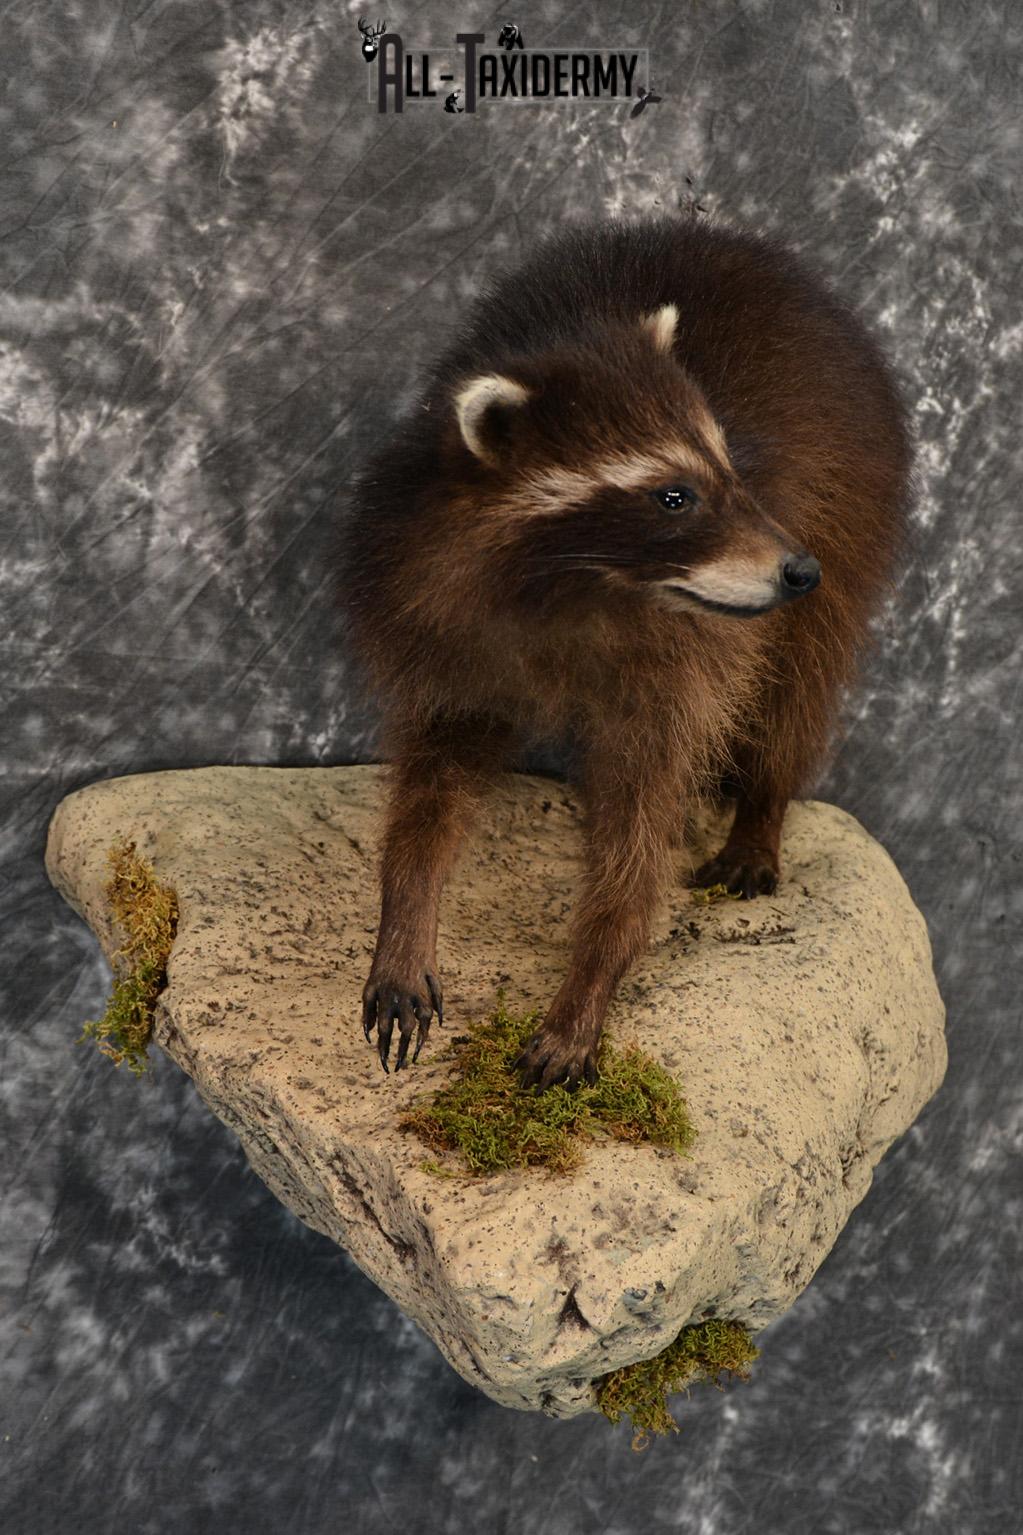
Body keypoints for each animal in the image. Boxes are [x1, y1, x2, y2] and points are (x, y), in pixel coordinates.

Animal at [336, 215, 911, 1089]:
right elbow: (432, 787)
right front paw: (404, 914)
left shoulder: (678, 667)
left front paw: (592, 976)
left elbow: (641, 826)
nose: (796, 568)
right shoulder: (440, 625)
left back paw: (762, 807)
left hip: (853, 502)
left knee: (798, 682)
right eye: (672, 495)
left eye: (729, 468)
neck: (576, 589)